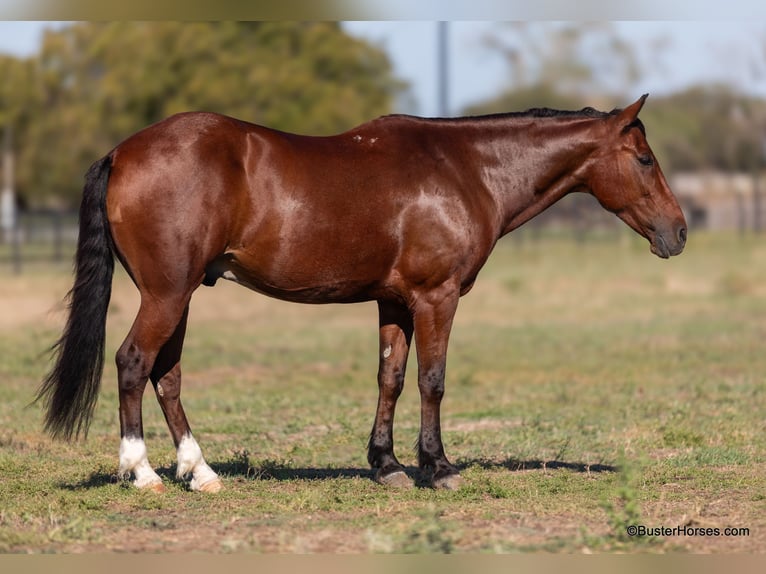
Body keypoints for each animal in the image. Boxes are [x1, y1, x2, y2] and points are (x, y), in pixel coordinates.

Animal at [36, 95, 688, 496]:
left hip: (182, 295)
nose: (679, 232)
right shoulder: (436, 298)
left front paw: (388, 466)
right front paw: (438, 468)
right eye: (644, 158)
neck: (465, 169)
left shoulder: (395, 302)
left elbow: (390, 379)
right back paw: (142, 471)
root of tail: (123, 151)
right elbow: (432, 380)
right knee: (133, 362)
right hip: (166, 294)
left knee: (166, 374)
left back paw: (201, 472)